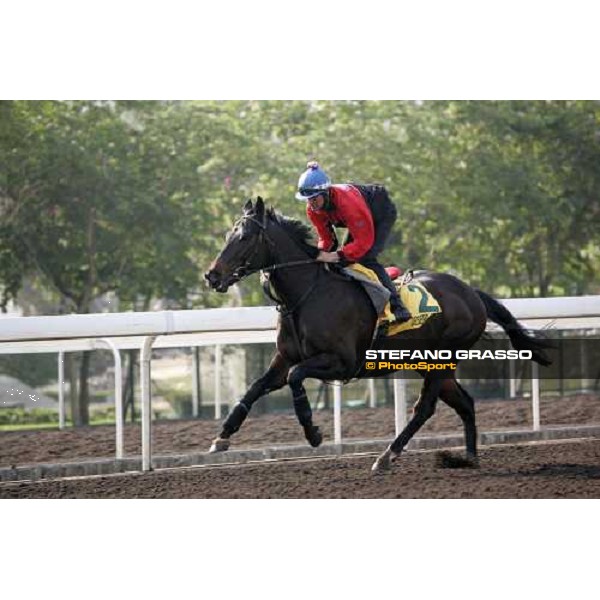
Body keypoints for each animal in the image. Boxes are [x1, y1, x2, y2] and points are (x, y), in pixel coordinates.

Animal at [204, 199, 552, 472]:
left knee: (425, 408)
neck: (307, 294)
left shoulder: (342, 362)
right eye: (227, 234)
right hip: (428, 363)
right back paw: (468, 458)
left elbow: (296, 377)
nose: (212, 275)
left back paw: (388, 455)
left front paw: (312, 431)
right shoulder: (285, 357)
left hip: (442, 358)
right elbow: (256, 387)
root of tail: (472, 293)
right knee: (464, 403)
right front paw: (222, 436)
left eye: (244, 236)